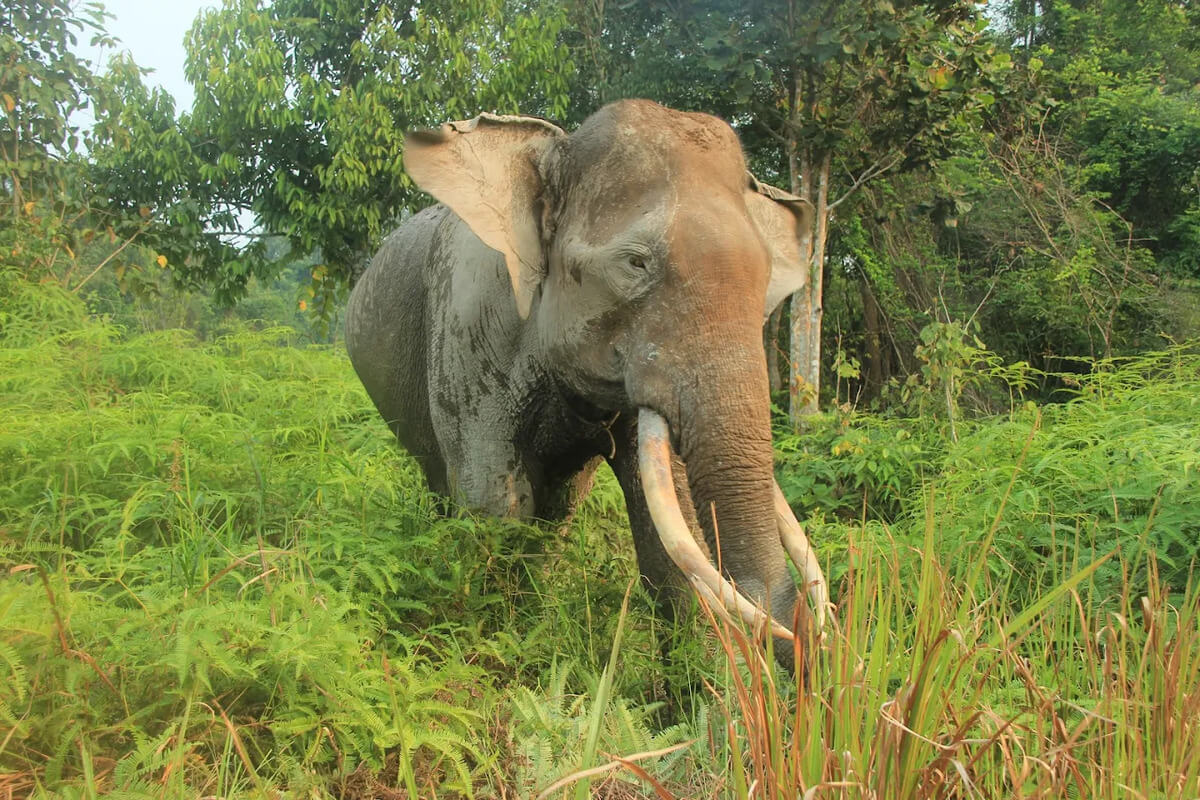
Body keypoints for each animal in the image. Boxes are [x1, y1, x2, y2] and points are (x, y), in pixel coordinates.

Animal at [345, 100, 825, 662]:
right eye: (635, 263)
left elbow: (669, 530)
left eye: (766, 275)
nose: (799, 636)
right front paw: (497, 654)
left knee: (560, 509)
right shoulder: (469, 330)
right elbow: (496, 508)